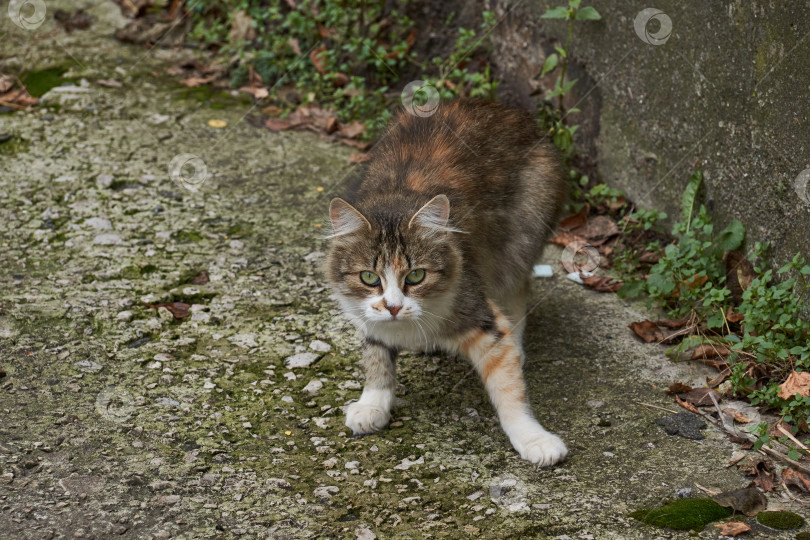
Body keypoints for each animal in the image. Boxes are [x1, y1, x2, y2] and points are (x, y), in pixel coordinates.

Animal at [326, 99, 564, 466]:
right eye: (369, 278)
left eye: (416, 276)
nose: (393, 307)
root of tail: (510, 109)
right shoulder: (368, 317)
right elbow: (377, 358)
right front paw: (373, 404)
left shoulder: (481, 314)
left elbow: (510, 393)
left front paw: (533, 439)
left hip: (519, 239)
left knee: (518, 289)